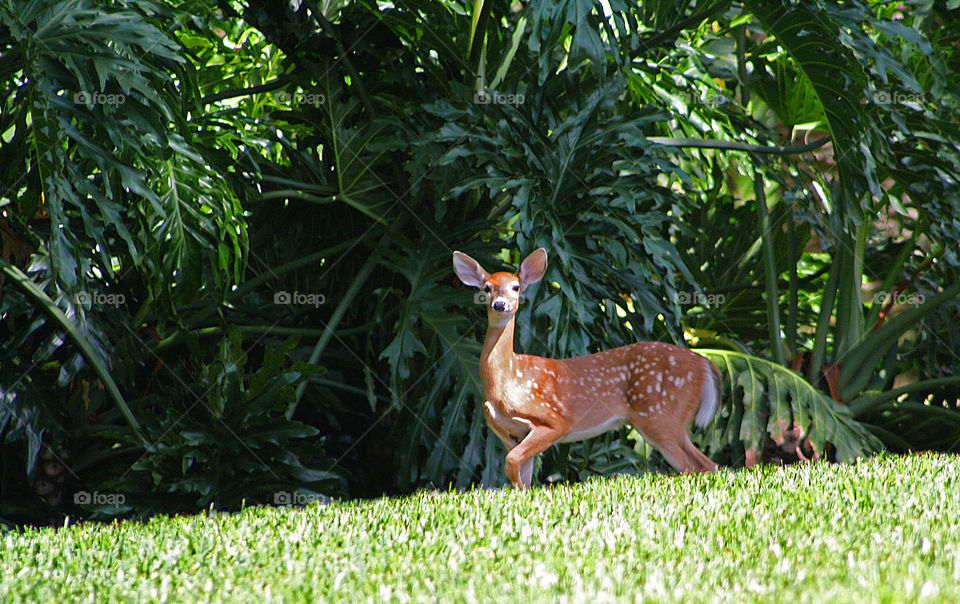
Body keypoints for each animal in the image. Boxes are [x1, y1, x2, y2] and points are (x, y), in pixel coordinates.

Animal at [452, 248, 720, 488]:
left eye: (516, 287)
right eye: (487, 288)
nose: (500, 304)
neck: (508, 378)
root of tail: (704, 363)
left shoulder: (554, 420)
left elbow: (511, 462)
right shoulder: (511, 432)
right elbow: (520, 477)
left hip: (661, 414)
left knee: (702, 466)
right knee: (704, 465)